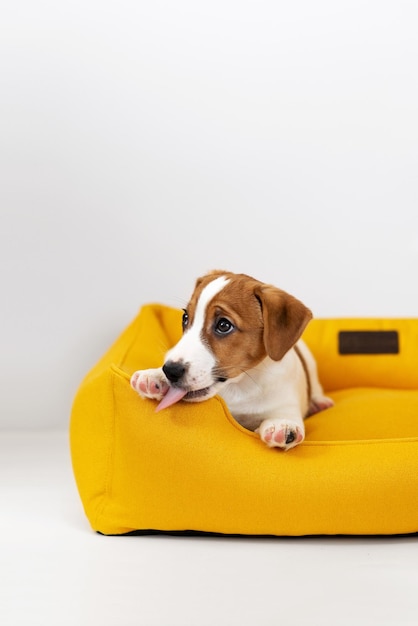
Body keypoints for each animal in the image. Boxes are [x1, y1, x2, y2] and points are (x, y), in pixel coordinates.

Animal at [131, 270, 334, 448]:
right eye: (185, 317)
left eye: (223, 325)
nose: (170, 371)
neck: (241, 385)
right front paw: (155, 376)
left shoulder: (286, 403)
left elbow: (284, 414)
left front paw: (282, 424)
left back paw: (319, 402)